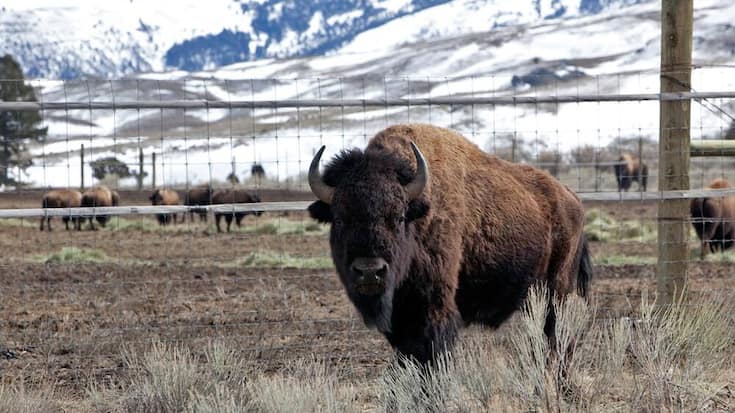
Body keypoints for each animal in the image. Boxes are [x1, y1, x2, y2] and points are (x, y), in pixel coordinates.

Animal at [307, 124, 592, 364]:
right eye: (339, 218)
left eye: (399, 217)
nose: (369, 271)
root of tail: (573, 199)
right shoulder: (401, 318)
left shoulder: (434, 309)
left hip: (558, 291)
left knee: (558, 338)